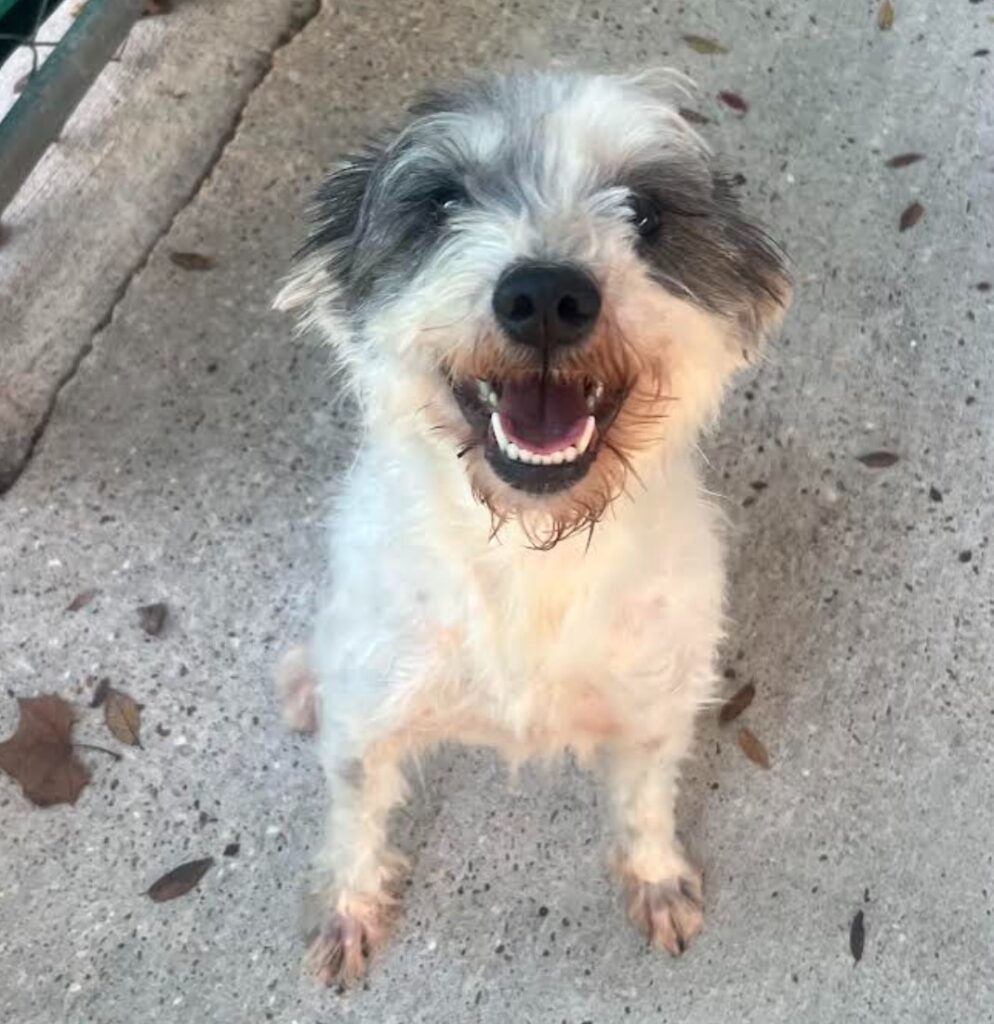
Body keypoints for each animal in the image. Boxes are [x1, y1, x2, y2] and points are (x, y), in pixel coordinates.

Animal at [274, 70, 794, 983]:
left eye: (646, 212)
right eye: (444, 201)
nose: (546, 296)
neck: (529, 553)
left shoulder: (653, 715)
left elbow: (645, 807)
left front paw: (655, 876)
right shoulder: (368, 719)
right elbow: (354, 818)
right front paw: (346, 905)